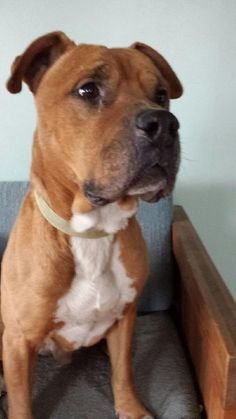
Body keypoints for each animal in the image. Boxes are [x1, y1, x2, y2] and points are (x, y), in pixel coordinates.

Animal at [0, 31, 183, 418]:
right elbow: (22, 402)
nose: (164, 124)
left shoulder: (126, 316)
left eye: (161, 94)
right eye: (88, 90)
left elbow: (123, 371)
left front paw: (130, 407)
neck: (92, 231)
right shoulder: (19, 340)